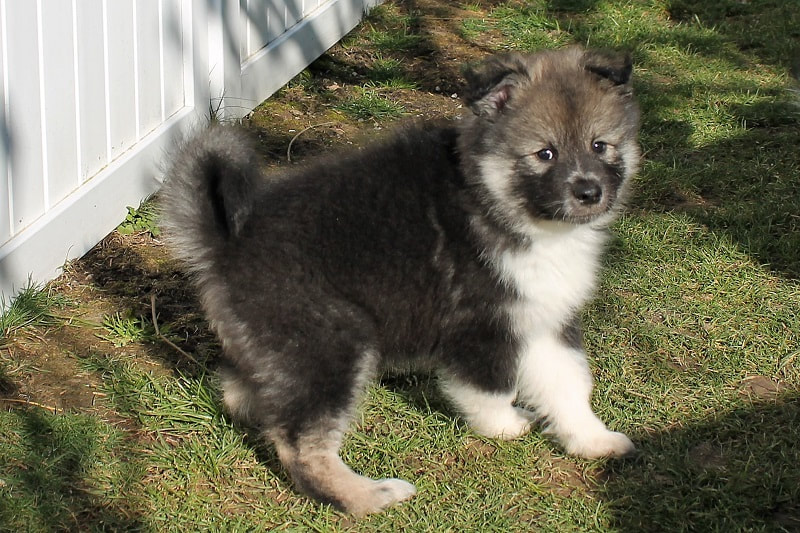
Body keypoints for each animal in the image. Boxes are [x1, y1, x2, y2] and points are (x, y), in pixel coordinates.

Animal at [162, 46, 644, 516]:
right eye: (545, 154)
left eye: (600, 146)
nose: (589, 193)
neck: (495, 201)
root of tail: (227, 243)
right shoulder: (482, 326)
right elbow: (491, 387)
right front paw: (504, 426)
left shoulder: (543, 317)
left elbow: (569, 384)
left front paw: (592, 439)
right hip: (330, 342)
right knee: (303, 446)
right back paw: (367, 496)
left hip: (283, 347)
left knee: (247, 393)